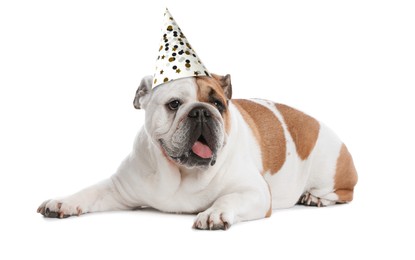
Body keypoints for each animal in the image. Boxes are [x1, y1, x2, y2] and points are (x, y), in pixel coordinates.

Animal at [38, 74, 358, 231]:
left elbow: (229, 198)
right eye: (174, 104)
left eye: (219, 104)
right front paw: (63, 202)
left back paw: (315, 197)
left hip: (331, 167)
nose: (202, 112)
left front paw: (214, 213)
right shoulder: (118, 188)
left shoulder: (254, 192)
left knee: (344, 192)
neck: (183, 173)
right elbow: (89, 192)